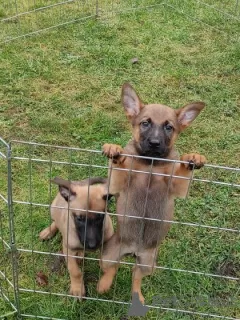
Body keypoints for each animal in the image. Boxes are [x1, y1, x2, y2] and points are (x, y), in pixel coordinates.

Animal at [97, 82, 206, 302]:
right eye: (145, 123)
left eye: (169, 127)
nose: (155, 143)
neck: (151, 163)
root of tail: (133, 251)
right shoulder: (120, 181)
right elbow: (119, 163)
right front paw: (113, 149)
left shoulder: (177, 184)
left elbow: (183, 170)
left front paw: (193, 157)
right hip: (108, 255)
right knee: (112, 268)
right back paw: (103, 285)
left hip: (148, 262)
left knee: (136, 275)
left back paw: (137, 295)